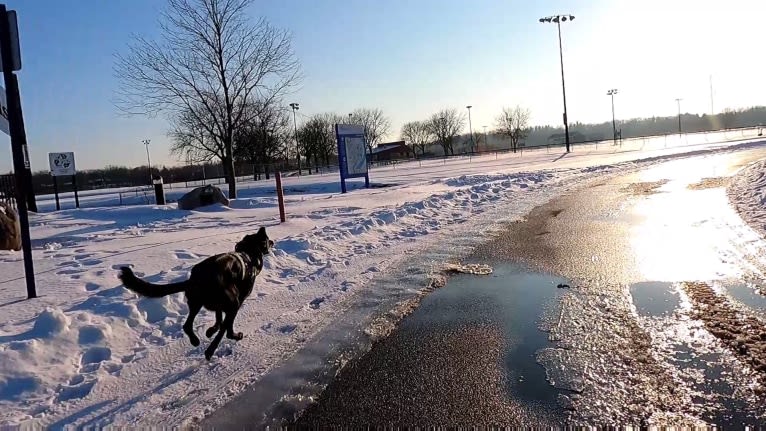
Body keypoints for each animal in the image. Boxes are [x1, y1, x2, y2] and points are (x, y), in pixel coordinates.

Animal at [118, 228, 274, 360]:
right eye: (266, 239)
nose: (263, 229)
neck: (249, 254)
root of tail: (196, 278)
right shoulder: (236, 303)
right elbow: (225, 325)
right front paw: (219, 332)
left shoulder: (219, 306)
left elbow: (218, 318)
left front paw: (211, 329)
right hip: (232, 304)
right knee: (224, 331)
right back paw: (212, 349)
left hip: (195, 303)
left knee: (187, 325)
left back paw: (195, 340)